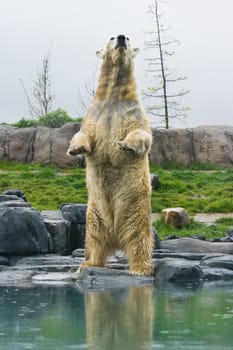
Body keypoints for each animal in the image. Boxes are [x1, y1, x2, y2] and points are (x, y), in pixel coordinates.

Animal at [67, 35, 154, 276]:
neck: (114, 96)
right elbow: (84, 132)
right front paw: (76, 149)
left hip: (136, 209)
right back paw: (88, 263)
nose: (122, 37)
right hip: (95, 214)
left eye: (129, 37)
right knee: (94, 239)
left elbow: (141, 132)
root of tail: (116, 237)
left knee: (139, 238)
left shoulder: (133, 111)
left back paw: (140, 268)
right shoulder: (95, 113)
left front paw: (125, 145)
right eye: (112, 37)